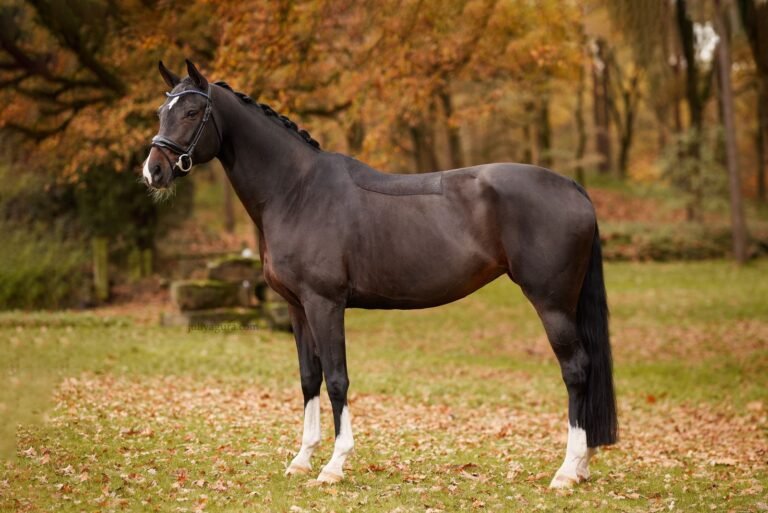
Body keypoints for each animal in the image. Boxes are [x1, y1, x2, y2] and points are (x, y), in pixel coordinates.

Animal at [144, 60, 617, 488]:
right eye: (162, 111)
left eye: (192, 112)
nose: (153, 170)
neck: (296, 190)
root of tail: (572, 186)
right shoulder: (297, 307)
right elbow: (309, 378)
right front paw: (302, 460)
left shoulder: (325, 303)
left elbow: (337, 378)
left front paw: (334, 466)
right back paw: (582, 465)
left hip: (552, 303)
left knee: (576, 369)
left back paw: (567, 471)